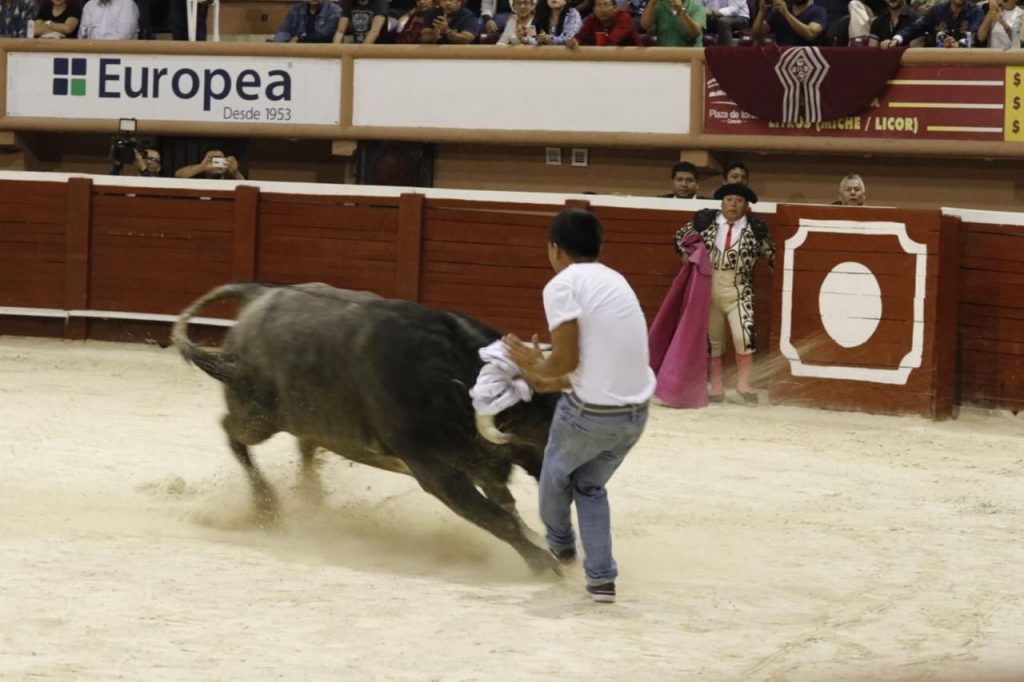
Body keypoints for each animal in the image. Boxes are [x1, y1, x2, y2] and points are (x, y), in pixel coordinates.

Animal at [172, 280, 565, 573]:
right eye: (539, 431)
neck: (449, 379)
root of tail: (259, 294)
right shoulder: (436, 473)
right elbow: (496, 518)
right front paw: (545, 566)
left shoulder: (480, 464)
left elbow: (506, 508)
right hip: (257, 418)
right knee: (230, 431)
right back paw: (268, 505)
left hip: (310, 418)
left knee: (304, 446)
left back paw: (312, 499)